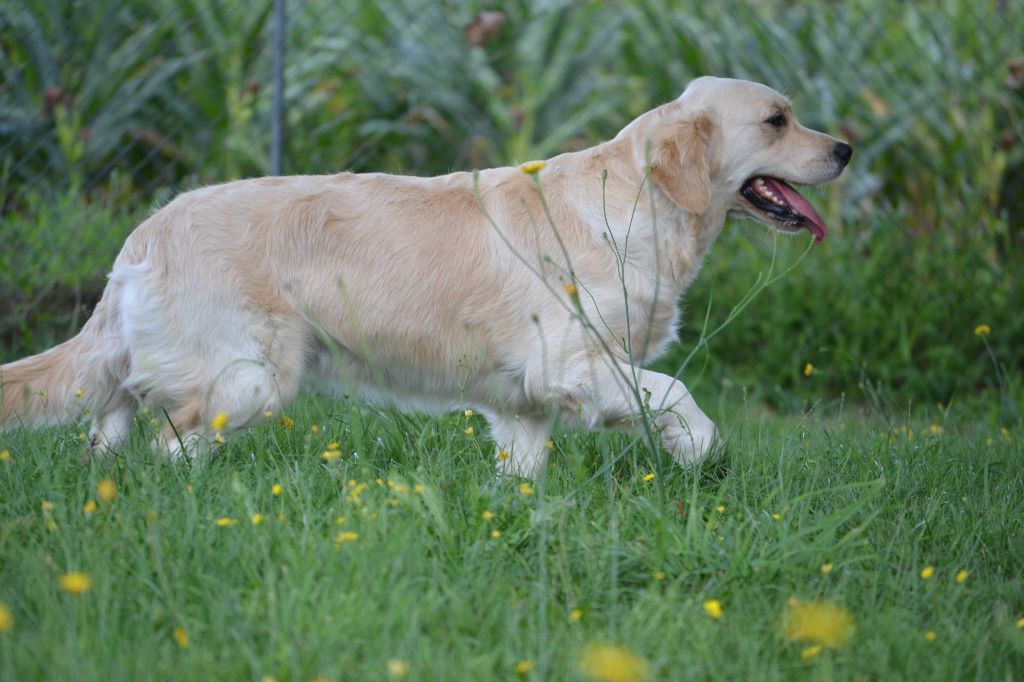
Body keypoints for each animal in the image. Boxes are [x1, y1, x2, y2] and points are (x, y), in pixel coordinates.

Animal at [0, 76, 847, 475]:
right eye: (777, 120)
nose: (845, 148)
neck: (644, 202)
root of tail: (142, 233)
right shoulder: (572, 361)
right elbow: (675, 392)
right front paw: (701, 452)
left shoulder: (524, 400)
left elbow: (525, 468)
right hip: (247, 378)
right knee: (167, 446)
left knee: (114, 427)